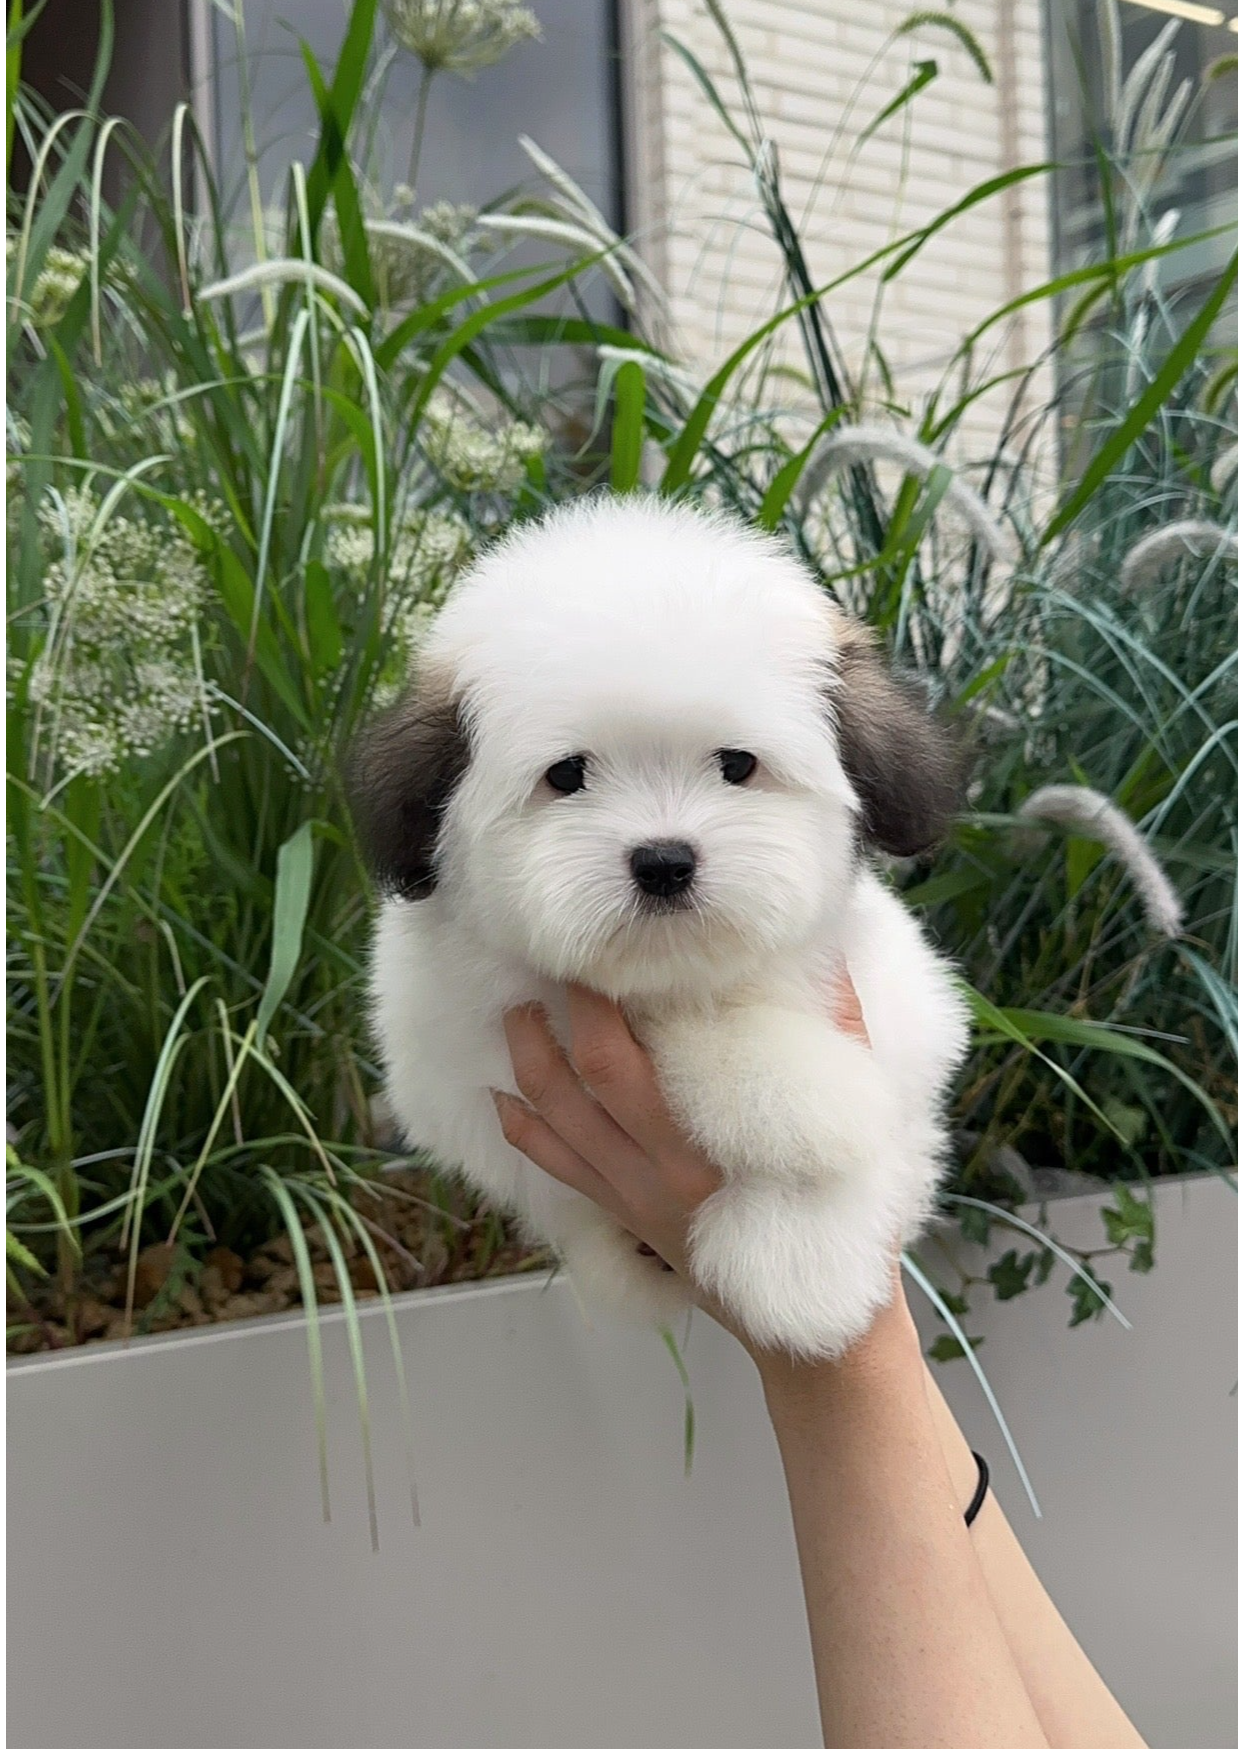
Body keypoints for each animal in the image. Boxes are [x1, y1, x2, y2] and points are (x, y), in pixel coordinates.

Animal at [353, 500, 972, 1357]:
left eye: (737, 764)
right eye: (567, 774)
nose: (664, 861)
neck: (675, 970)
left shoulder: (904, 1004)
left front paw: (805, 1260)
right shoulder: (463, 1041)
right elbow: (671, 1034)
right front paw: (808, 1094)